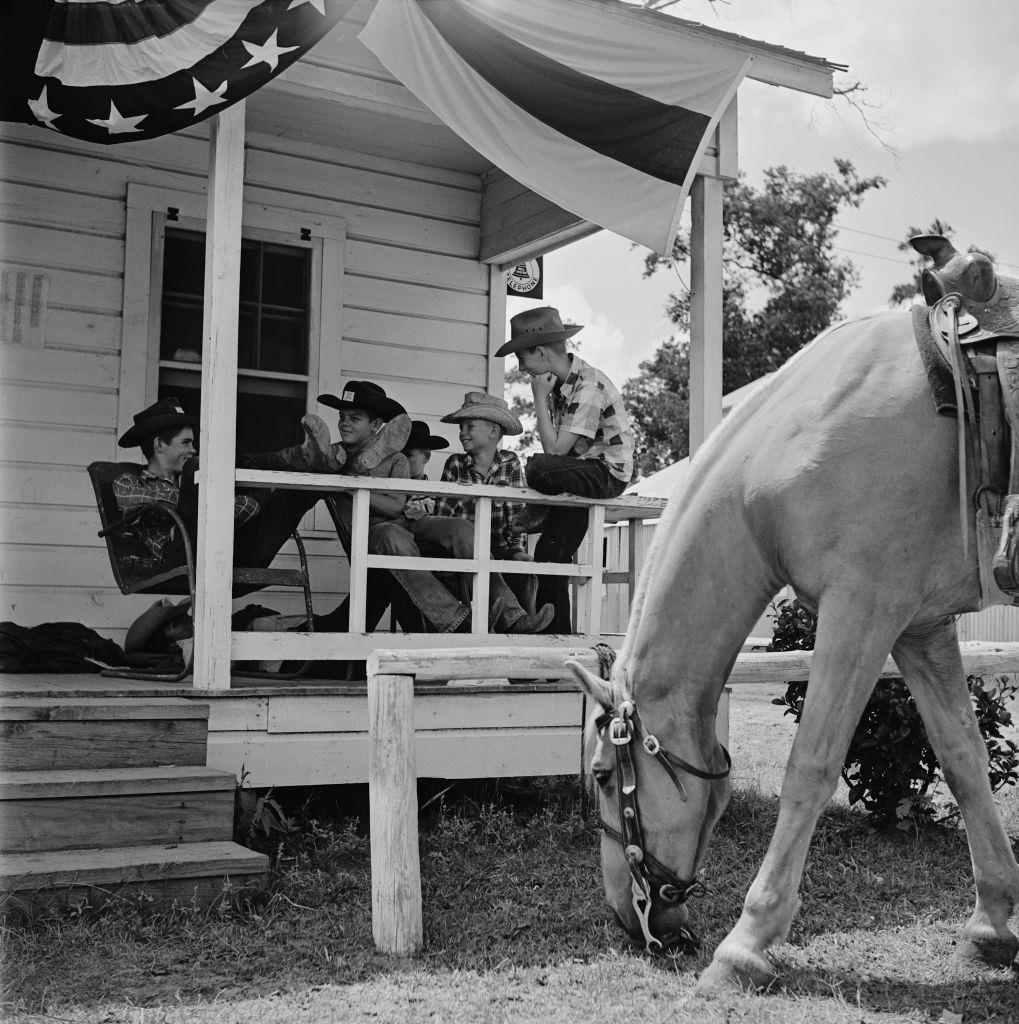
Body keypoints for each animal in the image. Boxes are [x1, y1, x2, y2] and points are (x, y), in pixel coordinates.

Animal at [569, 241, 1019, 991]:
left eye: (605, 776)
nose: (627, 921)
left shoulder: (860, 610)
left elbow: (809, 765)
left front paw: (747, 943)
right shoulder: (919, 627)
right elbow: (962, 758)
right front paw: (992, 925)